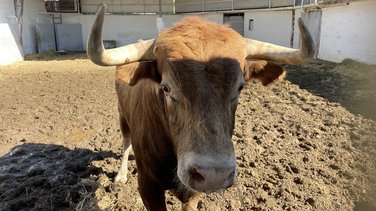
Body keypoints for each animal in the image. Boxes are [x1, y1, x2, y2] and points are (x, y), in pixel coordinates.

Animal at [86, 4, 312, 210]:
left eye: (240, 87)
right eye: (166, 87)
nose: (214, 176)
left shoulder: (192, 193)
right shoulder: (148, 186)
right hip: (122, 116)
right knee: (125, 142)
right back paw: (121, 175)